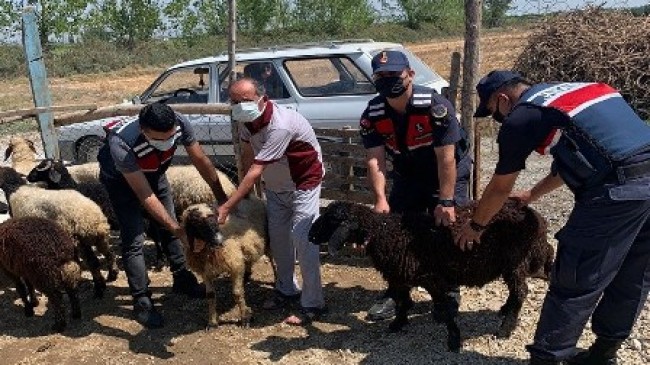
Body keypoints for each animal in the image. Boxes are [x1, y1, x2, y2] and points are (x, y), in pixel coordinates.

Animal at [0, 166, 117, 298]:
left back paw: (98, 288)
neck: (15, 190)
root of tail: (92, 218)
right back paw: (112, 275)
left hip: (79, 241)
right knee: (108, 253)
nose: (29, 177)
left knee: (93, 262)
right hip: (100, 238)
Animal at [180, 198, 266, 328]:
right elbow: (210, 295)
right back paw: (246, 277)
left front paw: (245, 318)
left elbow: (237, 293)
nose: (219, 240)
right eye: (197, 222)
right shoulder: (206, 272)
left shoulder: (235, 264)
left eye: (216, 217)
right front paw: (212, 323)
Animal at [308, 199, 552, 352]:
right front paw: (398, 323)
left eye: (331, 220)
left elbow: (443, 308)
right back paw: (505, 309)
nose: (310, 236)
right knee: (519, 289)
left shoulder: (432, 279)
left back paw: (505, 328)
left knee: (521, 291)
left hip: (516, 262)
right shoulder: (401, 276)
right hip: (514, 264)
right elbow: (402, 301)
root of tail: (537, 217)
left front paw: (454, 339)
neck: (385, 233)